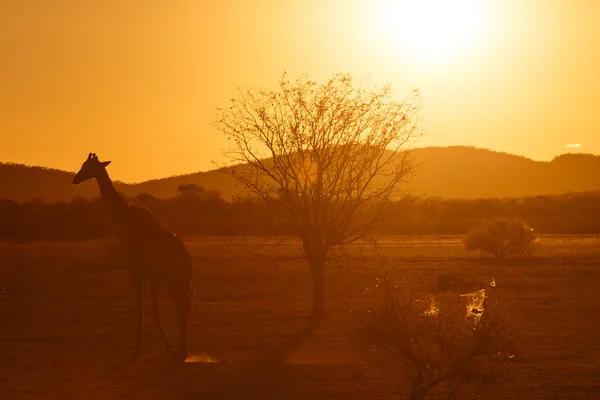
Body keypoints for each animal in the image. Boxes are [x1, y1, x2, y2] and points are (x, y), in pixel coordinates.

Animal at [72, 153, 195, 362]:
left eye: (87, 166)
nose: (75, 179)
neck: (126, 222)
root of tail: (187, 259)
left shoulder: (137, 272)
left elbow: (143, 311)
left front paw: (138, 350)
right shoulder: (151, 276)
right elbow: (150, 312)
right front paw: (164, 349)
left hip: (174, 278)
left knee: (182, 306)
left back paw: (181, 351)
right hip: (175, 279)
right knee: (184, 305)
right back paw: (181, 351)